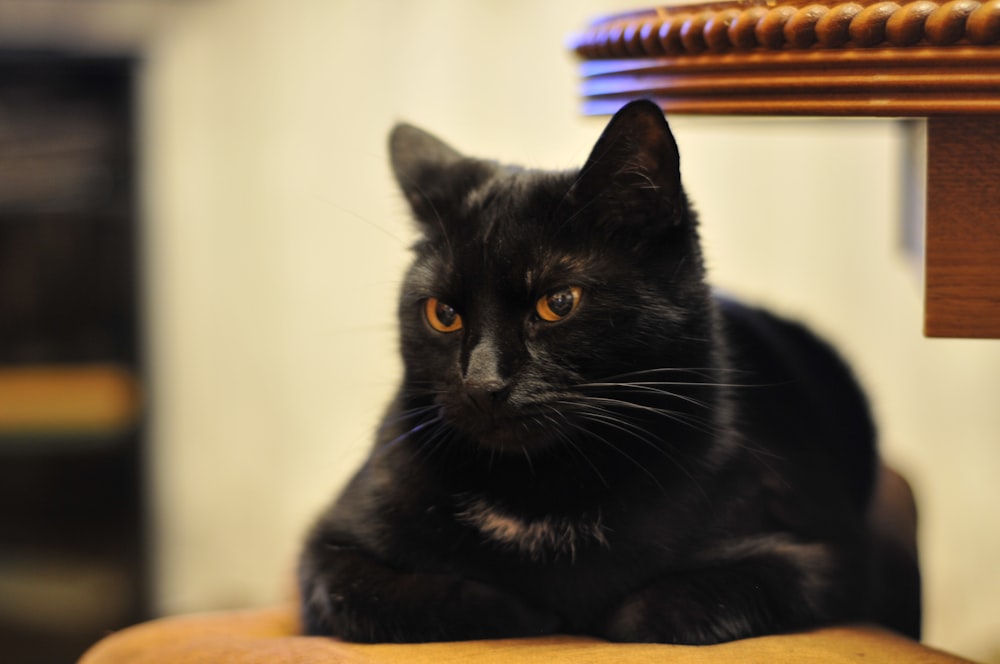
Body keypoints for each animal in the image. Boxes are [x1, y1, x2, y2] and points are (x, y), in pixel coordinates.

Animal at [298, 100, 920, 644]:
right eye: (442, 314)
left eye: (558, 302)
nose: (482, 383)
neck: (543, 493)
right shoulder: (327, 549)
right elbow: (400, 595)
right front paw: (530, 608)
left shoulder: (821, 556)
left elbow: (661, 609)